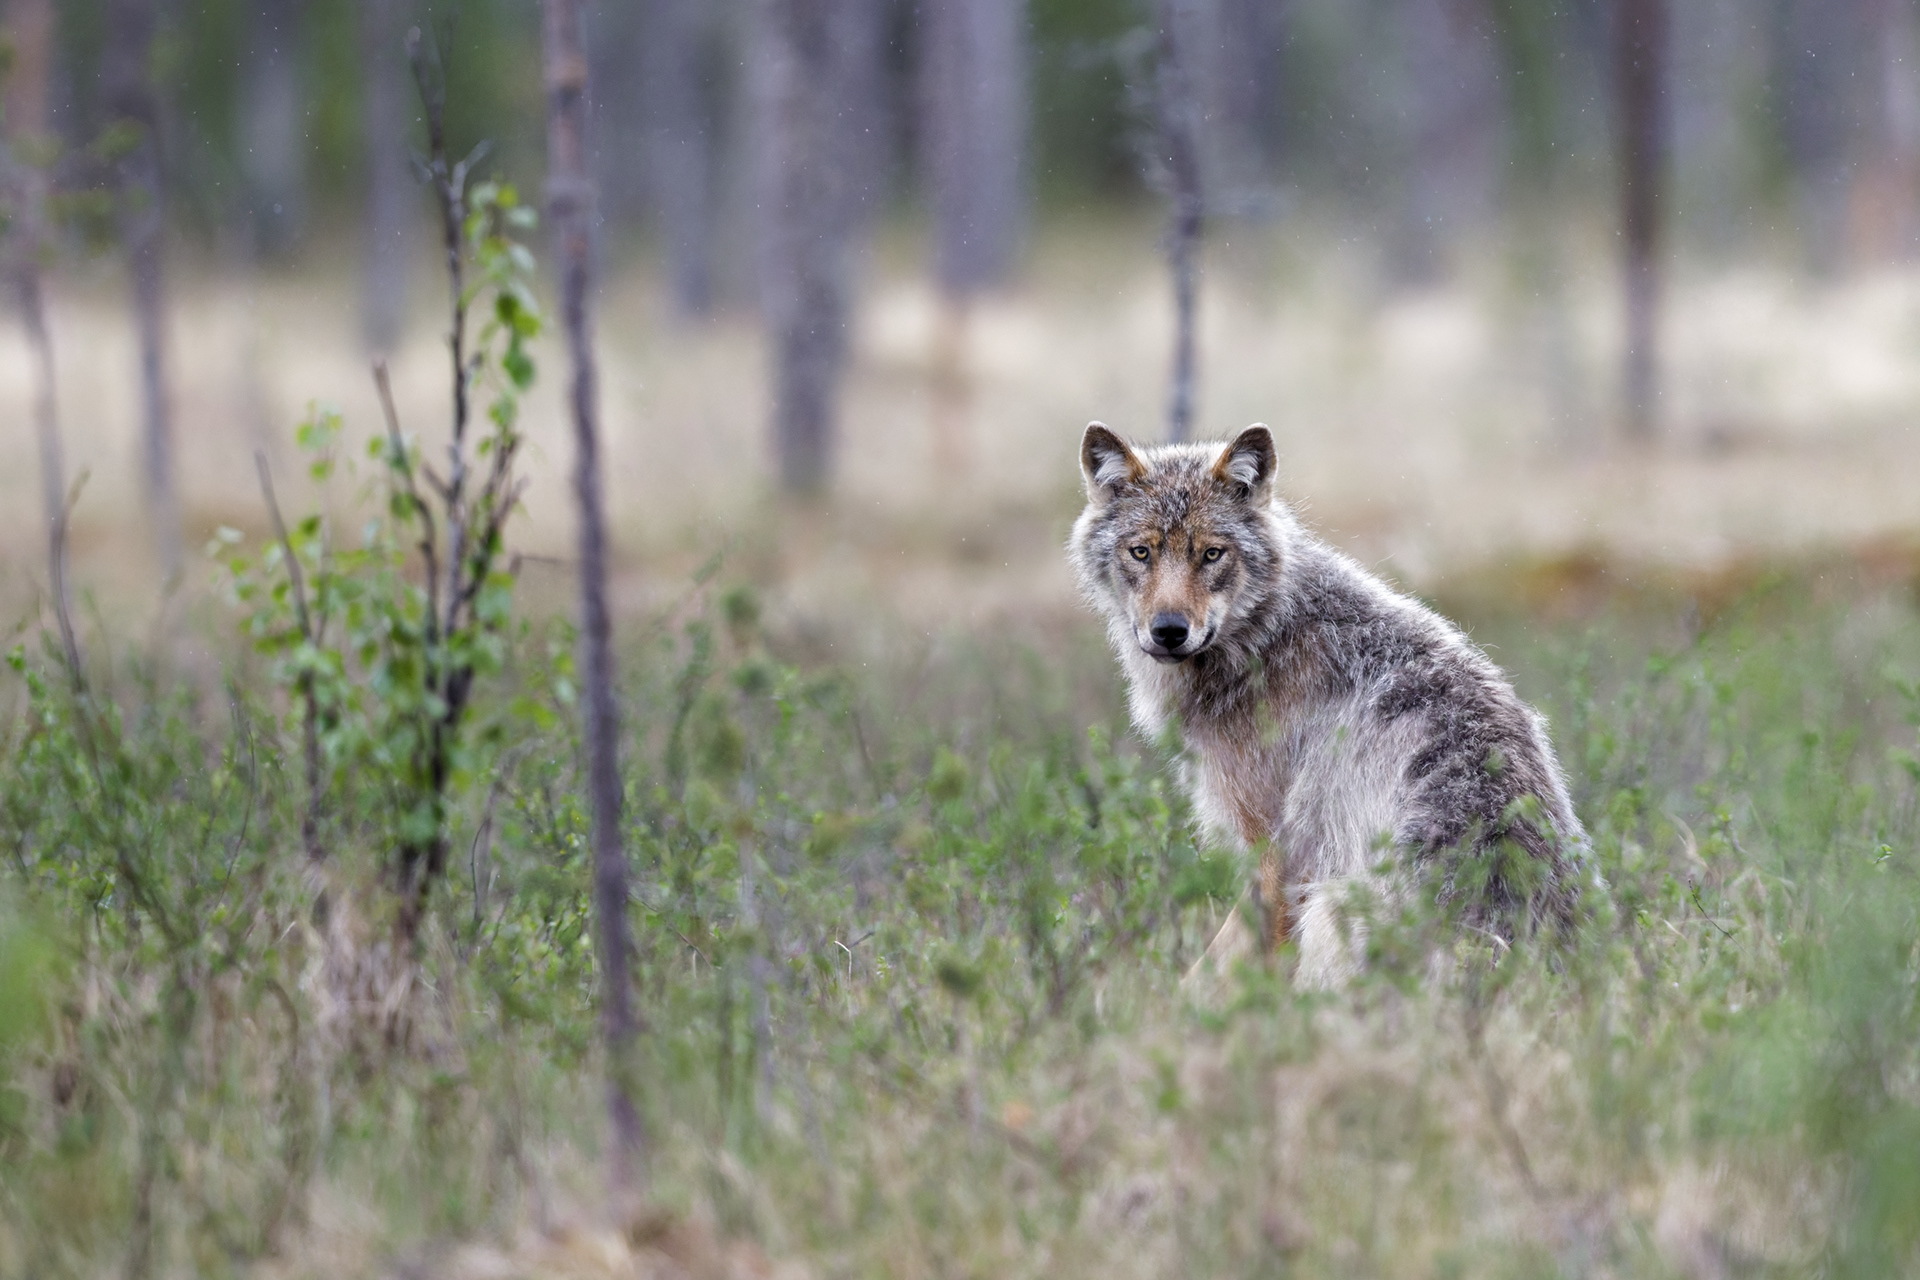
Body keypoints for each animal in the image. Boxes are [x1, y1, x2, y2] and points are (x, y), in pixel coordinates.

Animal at [1068, 421, 1591, 988]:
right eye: (1141, 552)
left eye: (1211, 554)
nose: (1168, 631)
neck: (1264, 641)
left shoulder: (1273, 853)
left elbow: (1220, 971)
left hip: (1331, 902)